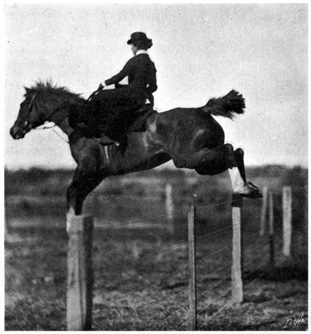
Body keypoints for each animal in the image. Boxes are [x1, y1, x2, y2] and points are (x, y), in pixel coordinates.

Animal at [9, 82, 262, 220]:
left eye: (23, 106)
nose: (14, 131)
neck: (79, 122)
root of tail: (203, 109)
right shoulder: (97, 174)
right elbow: (77, 196)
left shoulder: (87, 169)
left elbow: (71, 194)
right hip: (200, 163)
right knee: (236, 151)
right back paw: (249, 188)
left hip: (191, 160)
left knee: (230, 150)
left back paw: (243, 188)